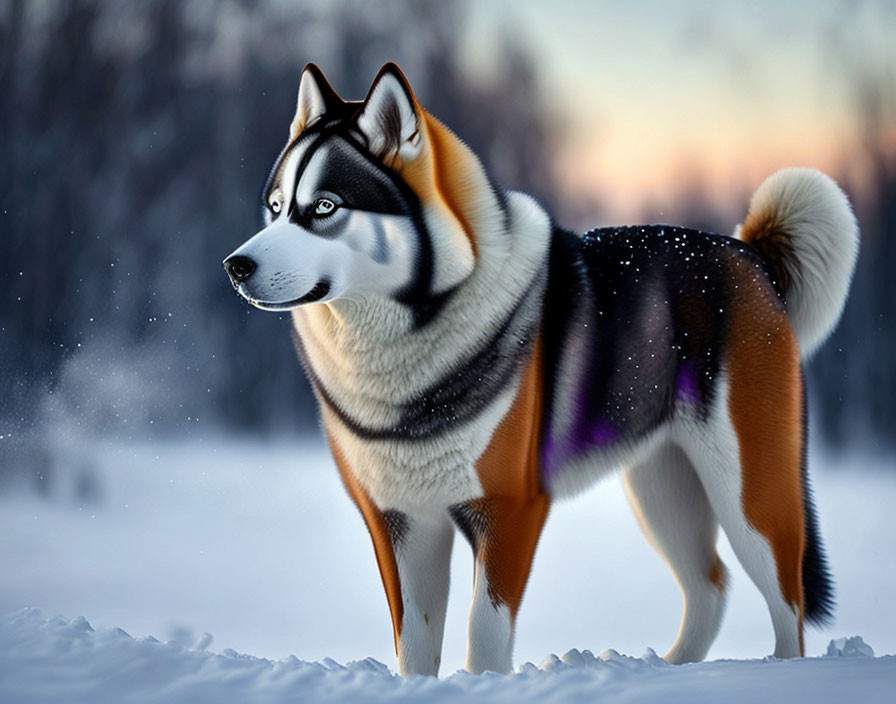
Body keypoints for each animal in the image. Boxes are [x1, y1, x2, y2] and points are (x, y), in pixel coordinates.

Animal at [222, 63, 856, 672]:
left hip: (748, 494)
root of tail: (749, 254)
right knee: (711, 585)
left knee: (787, 602)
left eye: (325, 207)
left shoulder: (507, 508)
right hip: (662, 489)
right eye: (275, 209)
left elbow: (484, 634)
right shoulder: (400, 521)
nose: (235, 265)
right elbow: (414, 646)